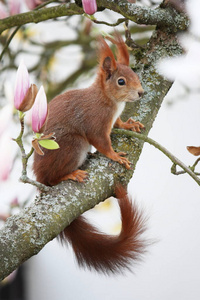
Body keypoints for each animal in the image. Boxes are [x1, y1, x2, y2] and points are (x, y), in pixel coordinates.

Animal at [33, 32, 147, 274]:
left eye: (136, 75)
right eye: (121, 81)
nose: (141, 93)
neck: (109, 100)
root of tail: (39, 177)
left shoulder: (112, 120)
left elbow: (119, 124)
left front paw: (129, 124)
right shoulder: (95, 123)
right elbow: (102, 143)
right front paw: (115, 156)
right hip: (72, 146)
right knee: (53, 178)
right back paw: (71, 174)